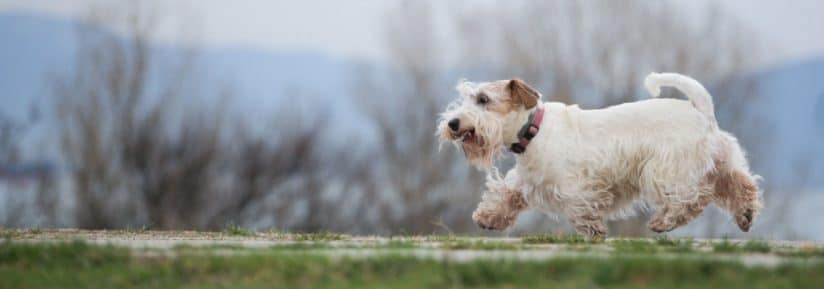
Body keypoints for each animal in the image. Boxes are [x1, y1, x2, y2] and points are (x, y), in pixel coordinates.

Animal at [440, 72, 764, 236]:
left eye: (484, 99)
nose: (453, 123)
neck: (533, 129)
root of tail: (701, 110)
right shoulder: (527, 181)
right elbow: (507, 194)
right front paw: (488, 218)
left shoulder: (576, 186)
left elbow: (581, 208)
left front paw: (594, 231)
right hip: (720, 164)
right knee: (742, 185)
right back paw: (745, 216)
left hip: (668, 172)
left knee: (693, 199)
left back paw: (663, 222)